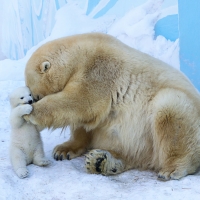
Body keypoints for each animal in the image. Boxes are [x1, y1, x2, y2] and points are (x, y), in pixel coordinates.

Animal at [24, 33, 200, 181]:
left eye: (35, 95)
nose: (31, 100)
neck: (79, 53)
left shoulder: (100, 70)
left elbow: (81, 102)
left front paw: (31, 113)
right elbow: (84, 123)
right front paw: (63, 150)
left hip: (183, 115)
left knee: (170, 110)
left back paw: (172, 169)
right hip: (141, 145)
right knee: (131, 153)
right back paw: (100, 161)